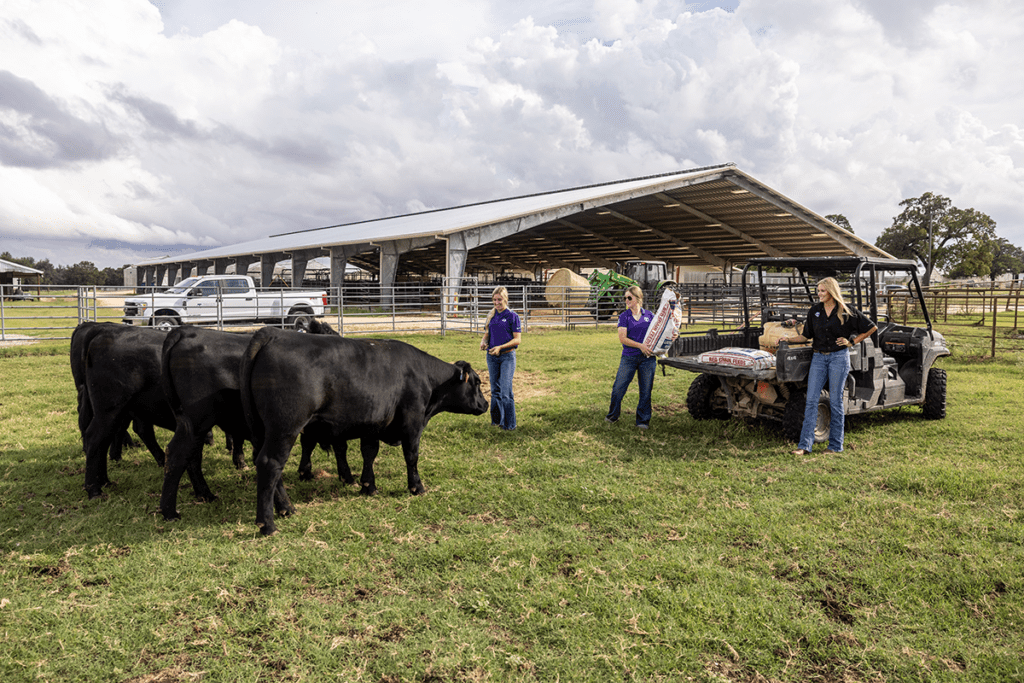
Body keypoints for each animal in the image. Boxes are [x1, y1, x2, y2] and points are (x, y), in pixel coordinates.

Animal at [243, 325, 491, 532]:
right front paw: (416, 487)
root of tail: (272, 333)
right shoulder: (412, 421)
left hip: (265, 431)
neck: (426, 377)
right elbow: (411, 456)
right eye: (477, 382)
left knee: (268, 466)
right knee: (270, 464)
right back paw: (268, 524)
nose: (486, 404)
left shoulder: (373, 422)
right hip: (285, 428)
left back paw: (286, 508)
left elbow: (369, 454)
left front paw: (368, 486)